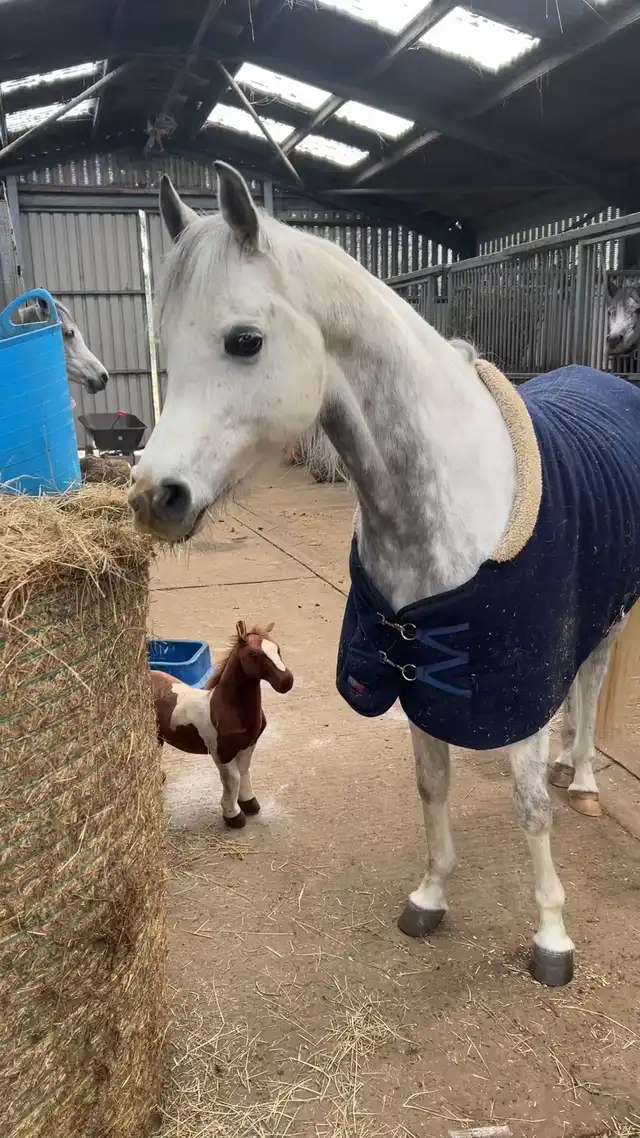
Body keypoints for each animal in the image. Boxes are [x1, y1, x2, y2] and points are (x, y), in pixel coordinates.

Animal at [152, 620, 294, 827]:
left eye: (277, 649)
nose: (287, 681)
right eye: (254, 654)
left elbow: (244, 772)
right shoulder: (222, 752)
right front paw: (233, 816)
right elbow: (232, 779)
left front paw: (250, 804)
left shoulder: (248, 745)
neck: (227, 706)